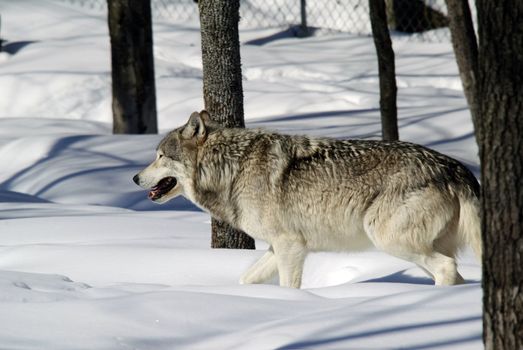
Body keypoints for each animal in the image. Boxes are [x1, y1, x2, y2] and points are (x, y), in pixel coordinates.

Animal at [134, 110, 484, 288]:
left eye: (160, 156)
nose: (135, 178)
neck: (232, 167)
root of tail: (456, 168)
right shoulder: (278, 247)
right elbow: (246, 279)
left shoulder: (290, 246)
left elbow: (289, 286)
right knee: (456, 274)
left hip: (391, 240)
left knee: (447, 268)